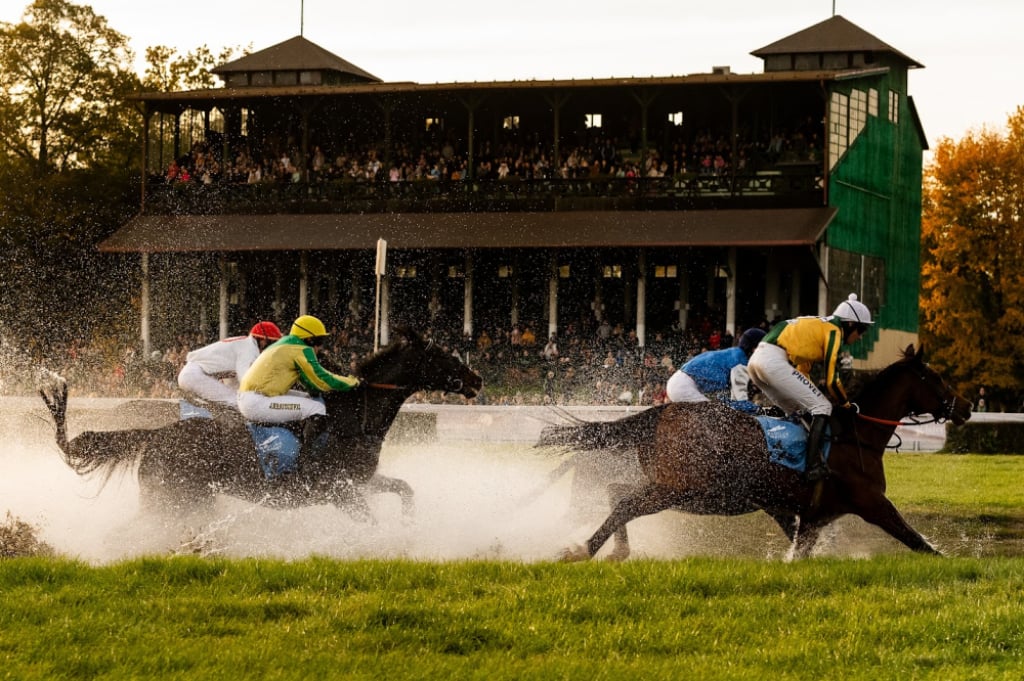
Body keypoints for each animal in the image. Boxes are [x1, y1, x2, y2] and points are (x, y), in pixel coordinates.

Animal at [540, 342, 970, 561]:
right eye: (936, 377)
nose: (964, 407)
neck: (856, 436)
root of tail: (661, 411)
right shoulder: (871, 502)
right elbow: (916, 541)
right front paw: (953, 560)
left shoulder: (809, 514)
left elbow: (801, 547)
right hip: (684, 489)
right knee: (626, 504)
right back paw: (582, 549)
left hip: (678, 488)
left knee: (617, 494)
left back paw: (613, 550)